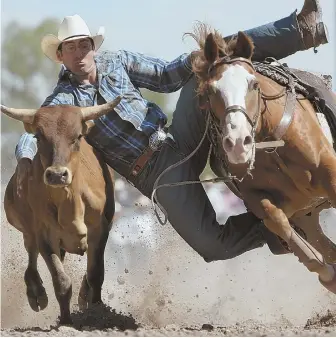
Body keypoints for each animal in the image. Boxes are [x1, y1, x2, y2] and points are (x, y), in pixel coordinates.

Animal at [189, 23, 336, 294]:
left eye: (253, 84)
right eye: (212, 90)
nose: (238, 141)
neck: (273, 146)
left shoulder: (330, 177)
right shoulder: (261, 201)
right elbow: (278, 221)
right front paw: (327, 275)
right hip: (308, 215)